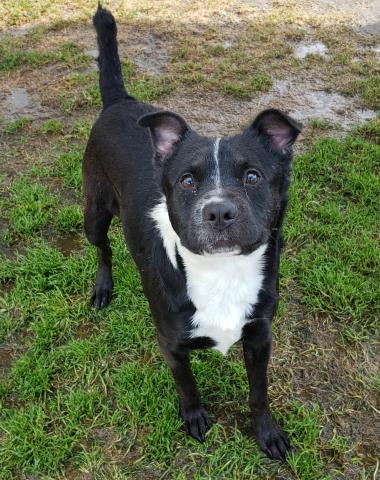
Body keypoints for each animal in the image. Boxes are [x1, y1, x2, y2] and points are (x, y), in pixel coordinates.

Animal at [84, 4, 302, 462]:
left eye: (253, 176)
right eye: (186, 181)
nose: (218, 211)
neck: (222, 272)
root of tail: (120, 102)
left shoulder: (260, 336)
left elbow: (259, 392)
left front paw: (267, 433)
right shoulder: (170, 343)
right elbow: (187, 386)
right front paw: (195, 417)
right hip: (93, 211)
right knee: (103, 248)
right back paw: (103, 287)